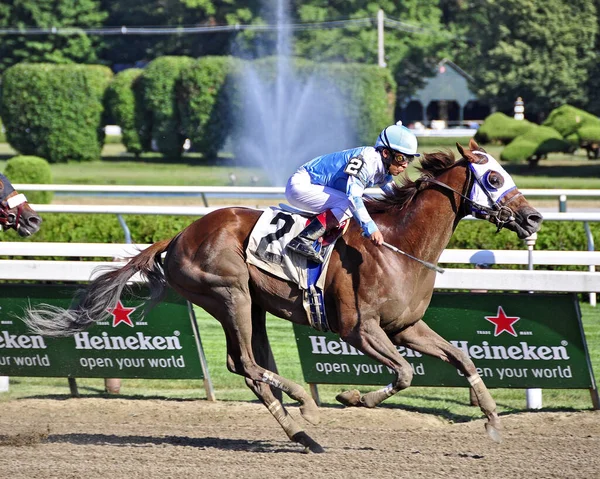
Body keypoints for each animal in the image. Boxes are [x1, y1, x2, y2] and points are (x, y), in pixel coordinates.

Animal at [24, 140, 544, 454]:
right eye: (493, 178)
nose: (534, 217)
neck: (399, 246)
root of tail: (177, 236)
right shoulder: (360, 330)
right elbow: (404, 373)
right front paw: (351, 396)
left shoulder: (406, 327)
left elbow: (461, 358)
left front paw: (492, 421)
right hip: (229, 293)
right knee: (247, 364)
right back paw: (303, 406)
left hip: (250, 304)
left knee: (246, 366)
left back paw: (300, 431)